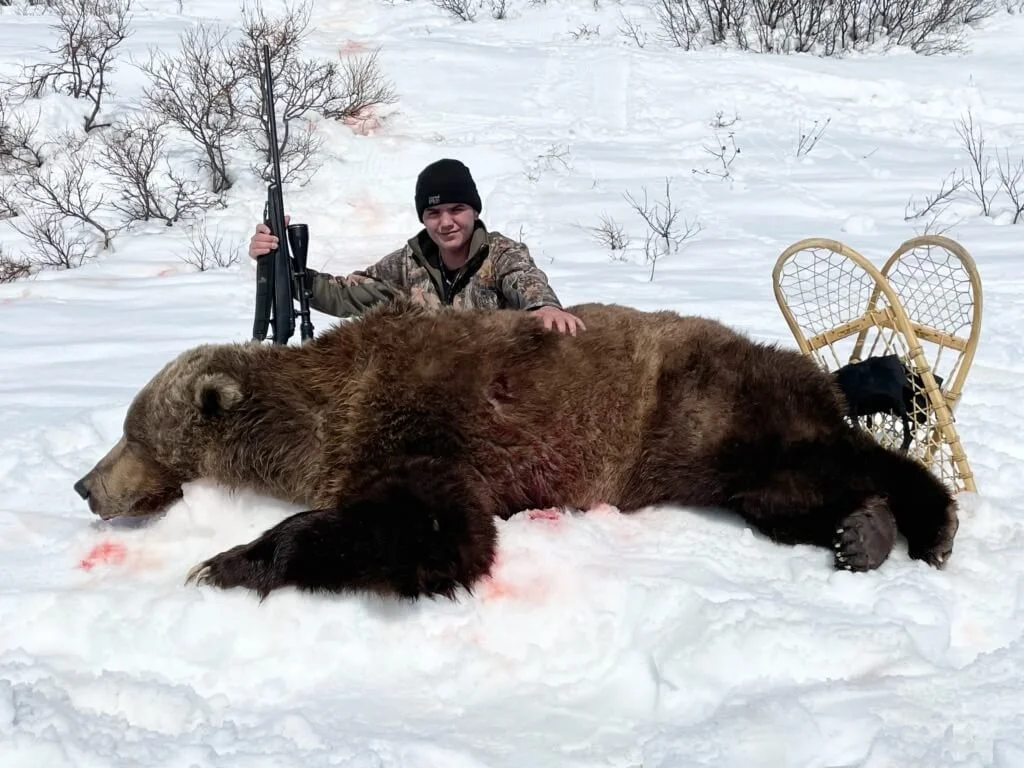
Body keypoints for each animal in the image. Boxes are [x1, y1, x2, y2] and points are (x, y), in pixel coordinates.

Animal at [72, 300, 959, 601]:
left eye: (130, 432)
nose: (84, 485)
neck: (323, 412)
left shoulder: (423, 420)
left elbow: (432, 526)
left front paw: (225, 562)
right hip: (708, 452)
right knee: (786, 494)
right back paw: (862, 531)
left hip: (707, 404)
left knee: (833, 457)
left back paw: (927, 521)